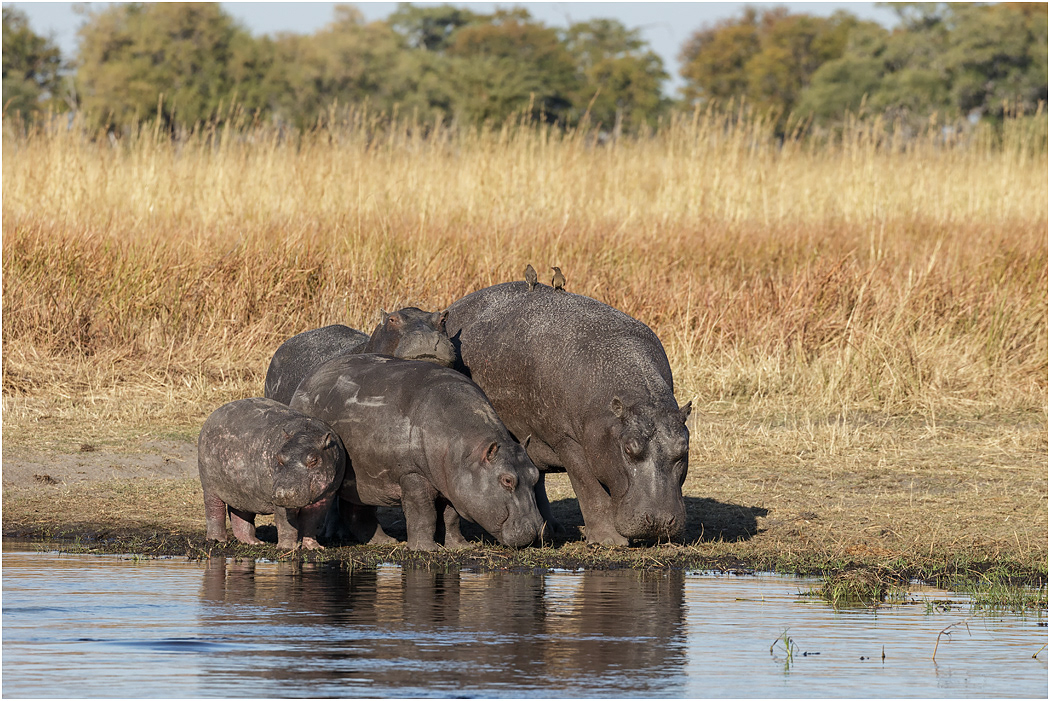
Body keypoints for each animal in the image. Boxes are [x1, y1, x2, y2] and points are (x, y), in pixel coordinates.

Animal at [198, 397, 345, 550]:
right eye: (279, 457)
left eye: (314, 460)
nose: (284, 492)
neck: (306, 432)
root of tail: (214, 414)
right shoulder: (281, 503)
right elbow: (285, 523)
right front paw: (287, 548)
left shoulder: (326, 496)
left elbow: (312, 521)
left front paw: (313, 547)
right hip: (210, 487)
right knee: (214, 510)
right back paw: (218, 540)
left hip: (241, 491)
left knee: (241, 514)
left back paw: (254, 542)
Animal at [289, 354, 544, 551]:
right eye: (507, 480)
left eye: (535, 475)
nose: (537, 529)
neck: (466, 450)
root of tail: (306, 380)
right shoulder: (413, 475)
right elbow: (424, 514)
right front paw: (426, 549)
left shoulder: (450, 484)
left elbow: (451, 518)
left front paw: (461, 546)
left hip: (362, 477)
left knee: (358, 511)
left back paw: (385, 542)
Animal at [445, 281, 691, 546]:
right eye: (628, 448)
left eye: (684, 448)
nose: (658, 521)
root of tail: (456, 305)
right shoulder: (568, 441)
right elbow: (590, 489)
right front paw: (609, 541)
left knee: (536, 477)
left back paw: (552, 530)